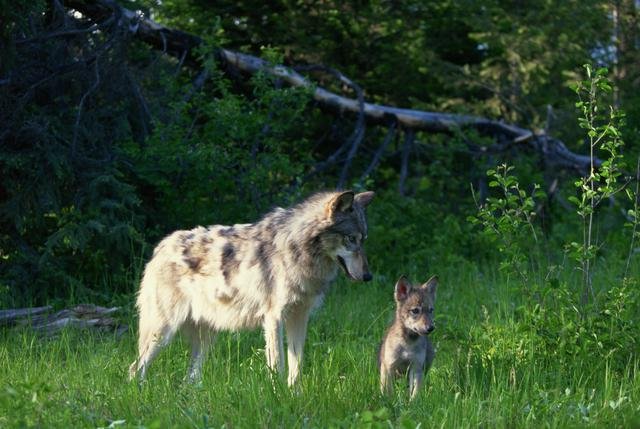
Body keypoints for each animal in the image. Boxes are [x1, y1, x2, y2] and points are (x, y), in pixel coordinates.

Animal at [129, 190, 376, 384]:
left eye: (363, 239)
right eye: (350, 239)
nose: (368, 276)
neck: (299, 250)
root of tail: (161, 247)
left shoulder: (300, 317)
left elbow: (296, 366)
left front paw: (295, 395)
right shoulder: (274, 318)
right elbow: (278, 366)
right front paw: (278, 396)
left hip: (206, 340)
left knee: (190, 379)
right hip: (162, 333)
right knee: (135, 369)